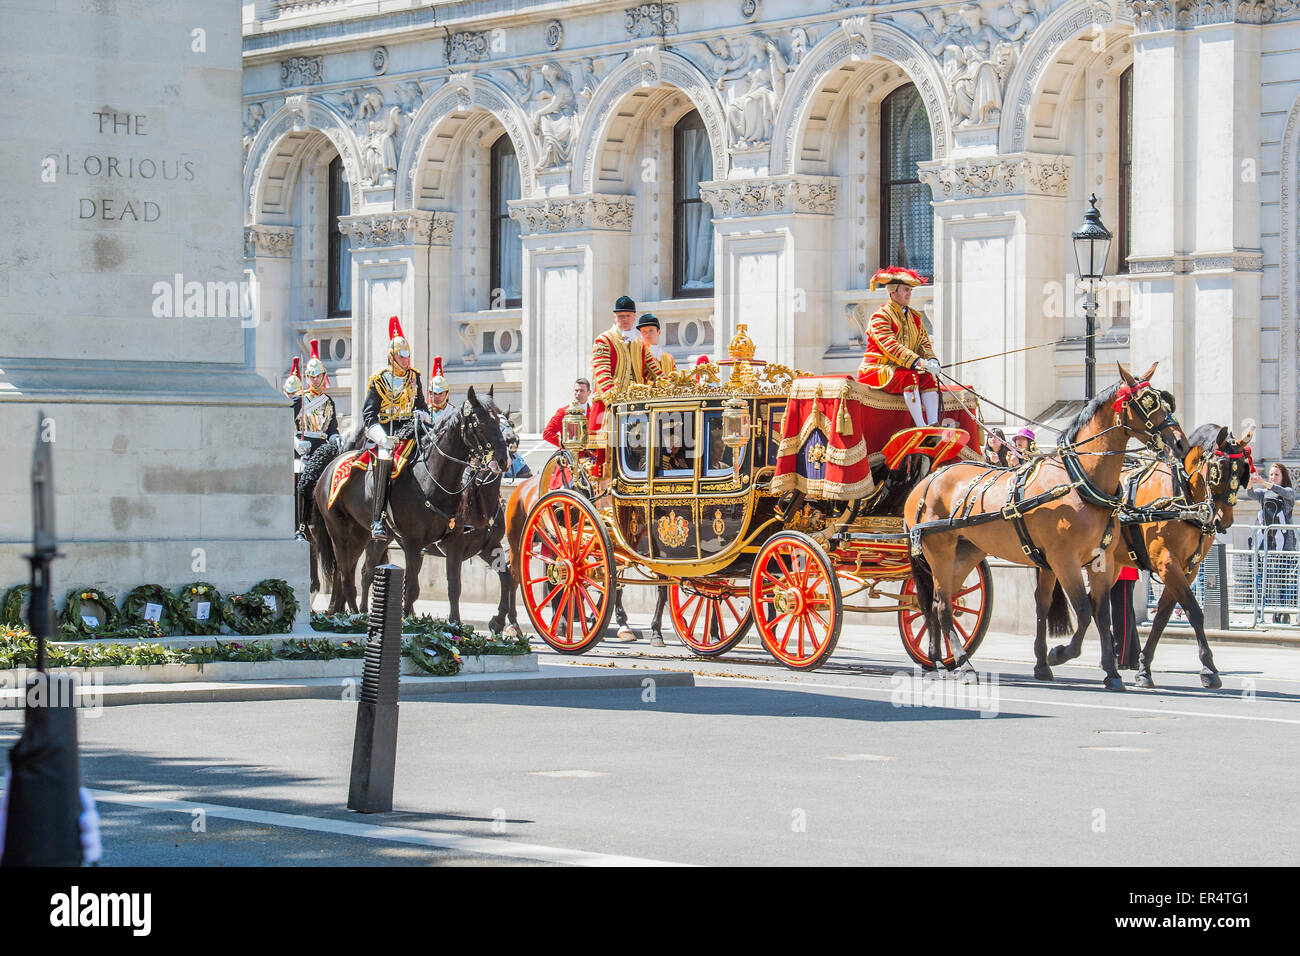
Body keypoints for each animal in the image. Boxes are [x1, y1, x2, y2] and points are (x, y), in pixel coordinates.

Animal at [313, 390, 512, 621]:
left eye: (500, 421)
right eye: (479, 423)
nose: (503, 459)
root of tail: (330, 467)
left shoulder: (464, 543)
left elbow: (456, 586)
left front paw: (460, 624)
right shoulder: (413, 542)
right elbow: (412, 588)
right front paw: (407, 620)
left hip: (362, 535)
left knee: (355, 572)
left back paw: (347, 611)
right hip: (339, 532)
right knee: (346, 575)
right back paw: (354, 616)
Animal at [904, 364, 1190, 686]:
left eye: (1165, 401)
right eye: (1148, 402)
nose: (1180, 443)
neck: (1080, 480)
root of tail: (928, 479)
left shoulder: (1100, 561)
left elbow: (1100, 613)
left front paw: (1110, 672)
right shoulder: (1063, 560)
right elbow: (1084, 610)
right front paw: (1060, 653)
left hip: (966, 552)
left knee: (936, 603)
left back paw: (937, 661)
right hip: (939, 551)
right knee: (942, 605)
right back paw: (963, 664)